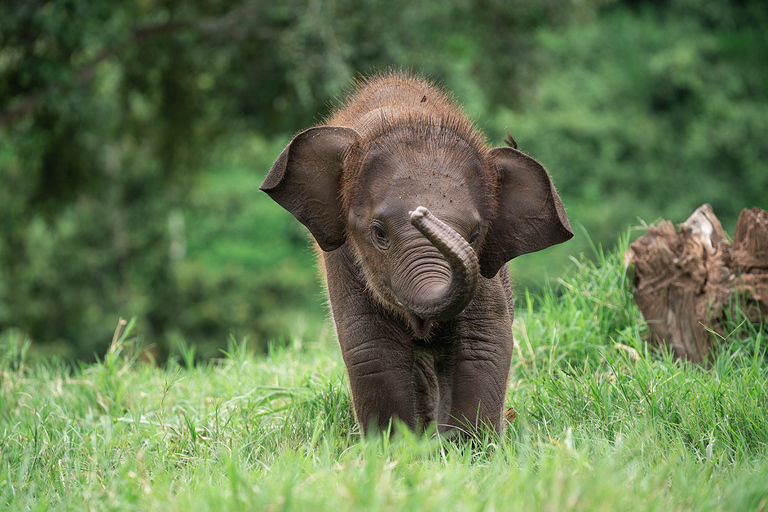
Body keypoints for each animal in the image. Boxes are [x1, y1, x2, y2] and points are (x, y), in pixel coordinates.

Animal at [262, 70, 568, 434]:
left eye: (475, 235)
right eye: (378, 232)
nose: (421, 213)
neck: (408, 114)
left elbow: (483, 342)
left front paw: (470, 447)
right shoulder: (343, 258)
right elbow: (373, 348)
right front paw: (395, 445)